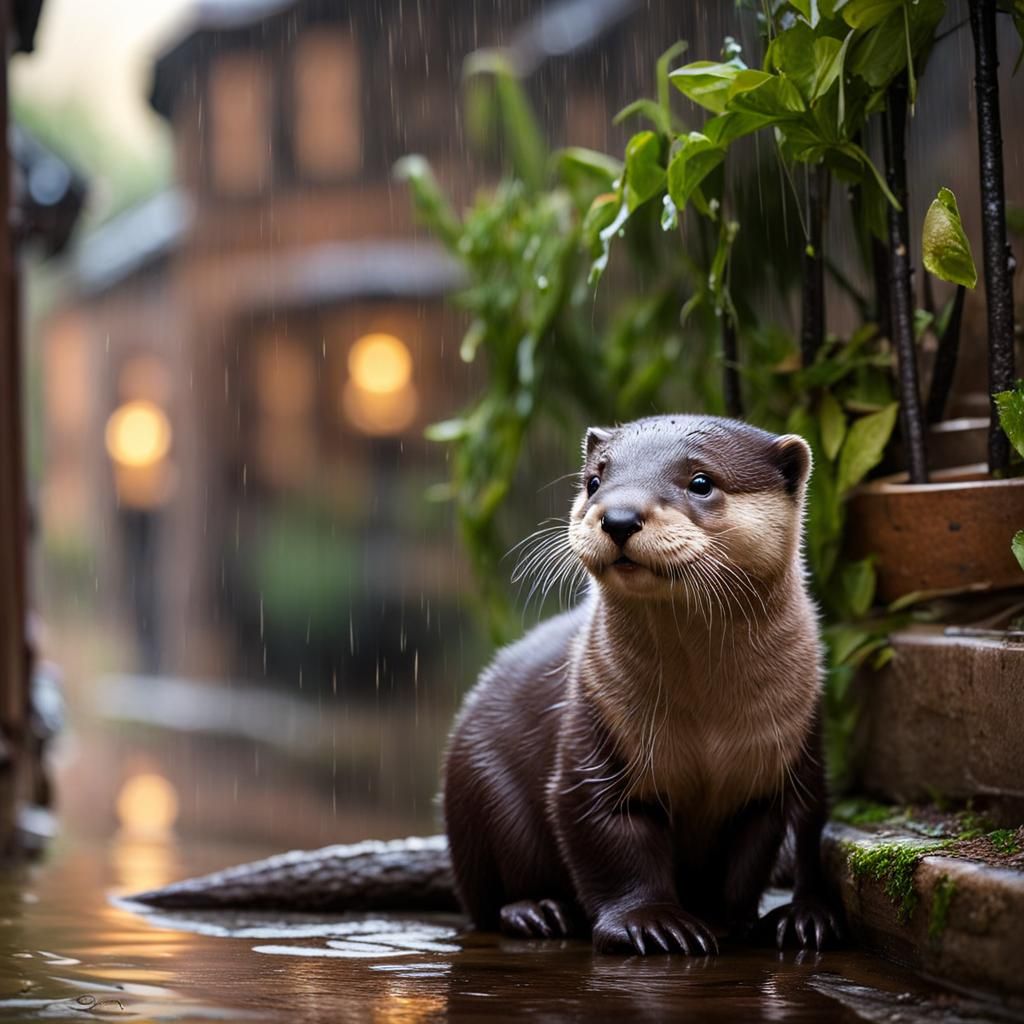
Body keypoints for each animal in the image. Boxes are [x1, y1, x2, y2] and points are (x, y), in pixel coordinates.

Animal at [133, 415, 841, 955]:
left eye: (701, 481)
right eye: (595, 478)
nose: (617, 515)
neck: (705, 726)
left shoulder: (781, 759)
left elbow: (755, 852)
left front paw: (734, 921)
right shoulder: (592, 740)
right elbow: (606, 840)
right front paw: (653, 925)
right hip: (480, 793)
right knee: (488, 895)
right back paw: (537, 912)